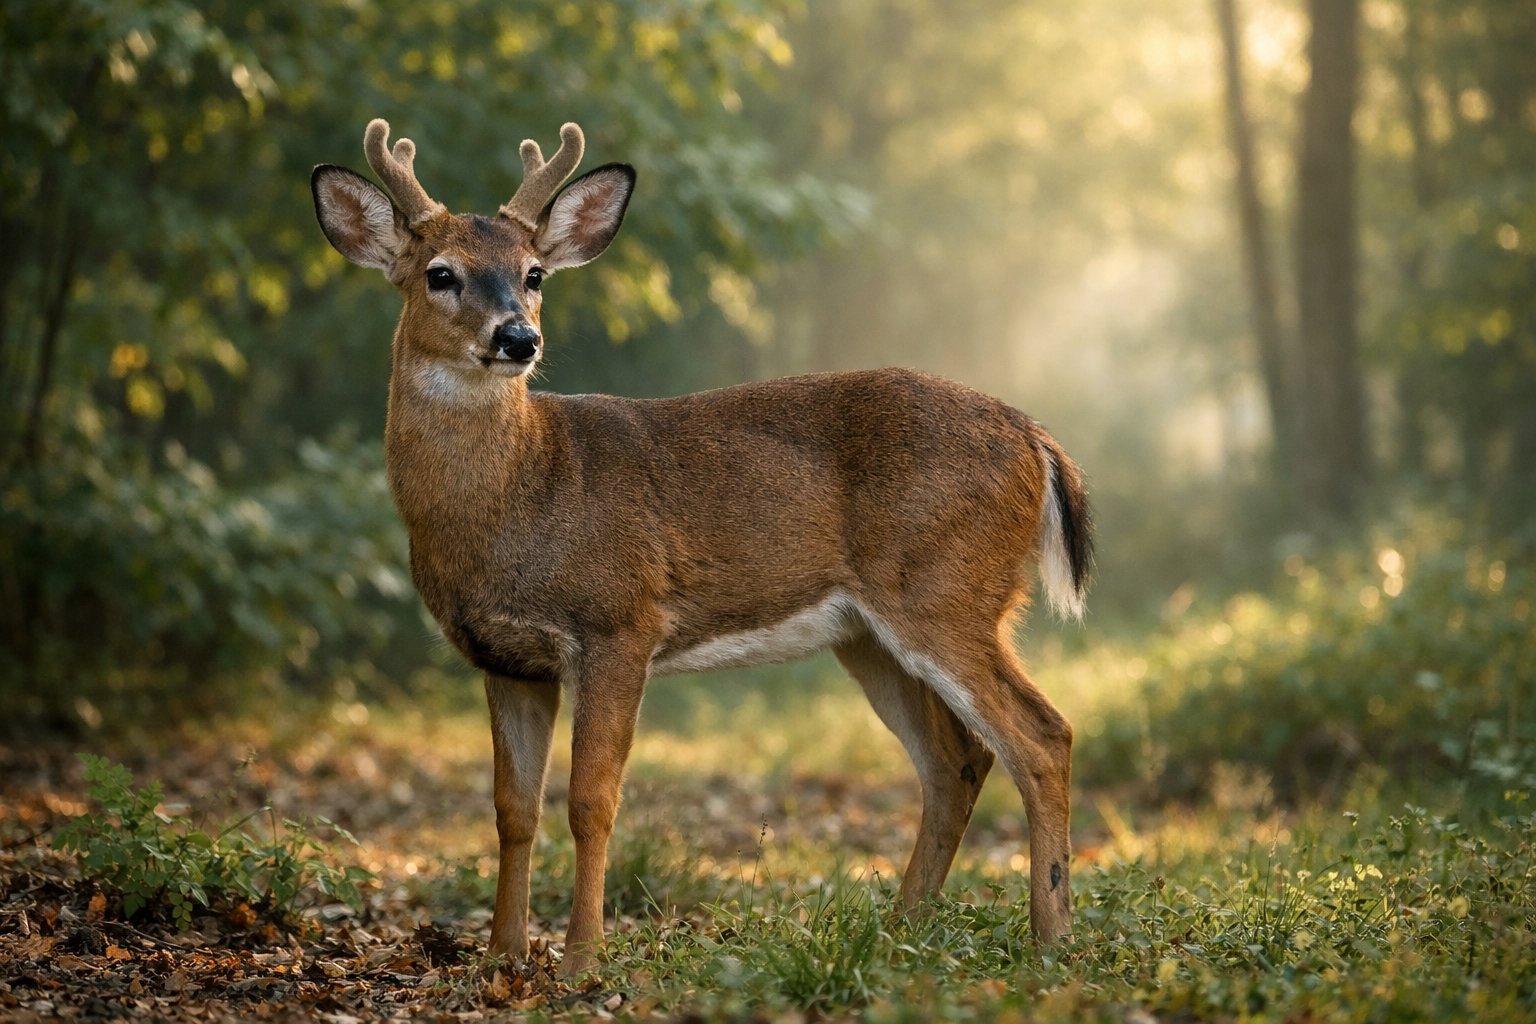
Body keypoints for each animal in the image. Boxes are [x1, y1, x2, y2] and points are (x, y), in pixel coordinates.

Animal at [311, 117, 1093, 977]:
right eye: (440, 274)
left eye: (534, 274)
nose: (518, 337)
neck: (520, 495)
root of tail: (1035, 437)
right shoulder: (506, 659)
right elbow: (513, 808)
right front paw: (500, 957)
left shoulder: (619, 622)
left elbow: (592, 800)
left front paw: (582, 959)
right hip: (869, 634)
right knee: (958, 760)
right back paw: (902, 930)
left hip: (945, 590)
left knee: (1042, 734)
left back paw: (1050, 939)